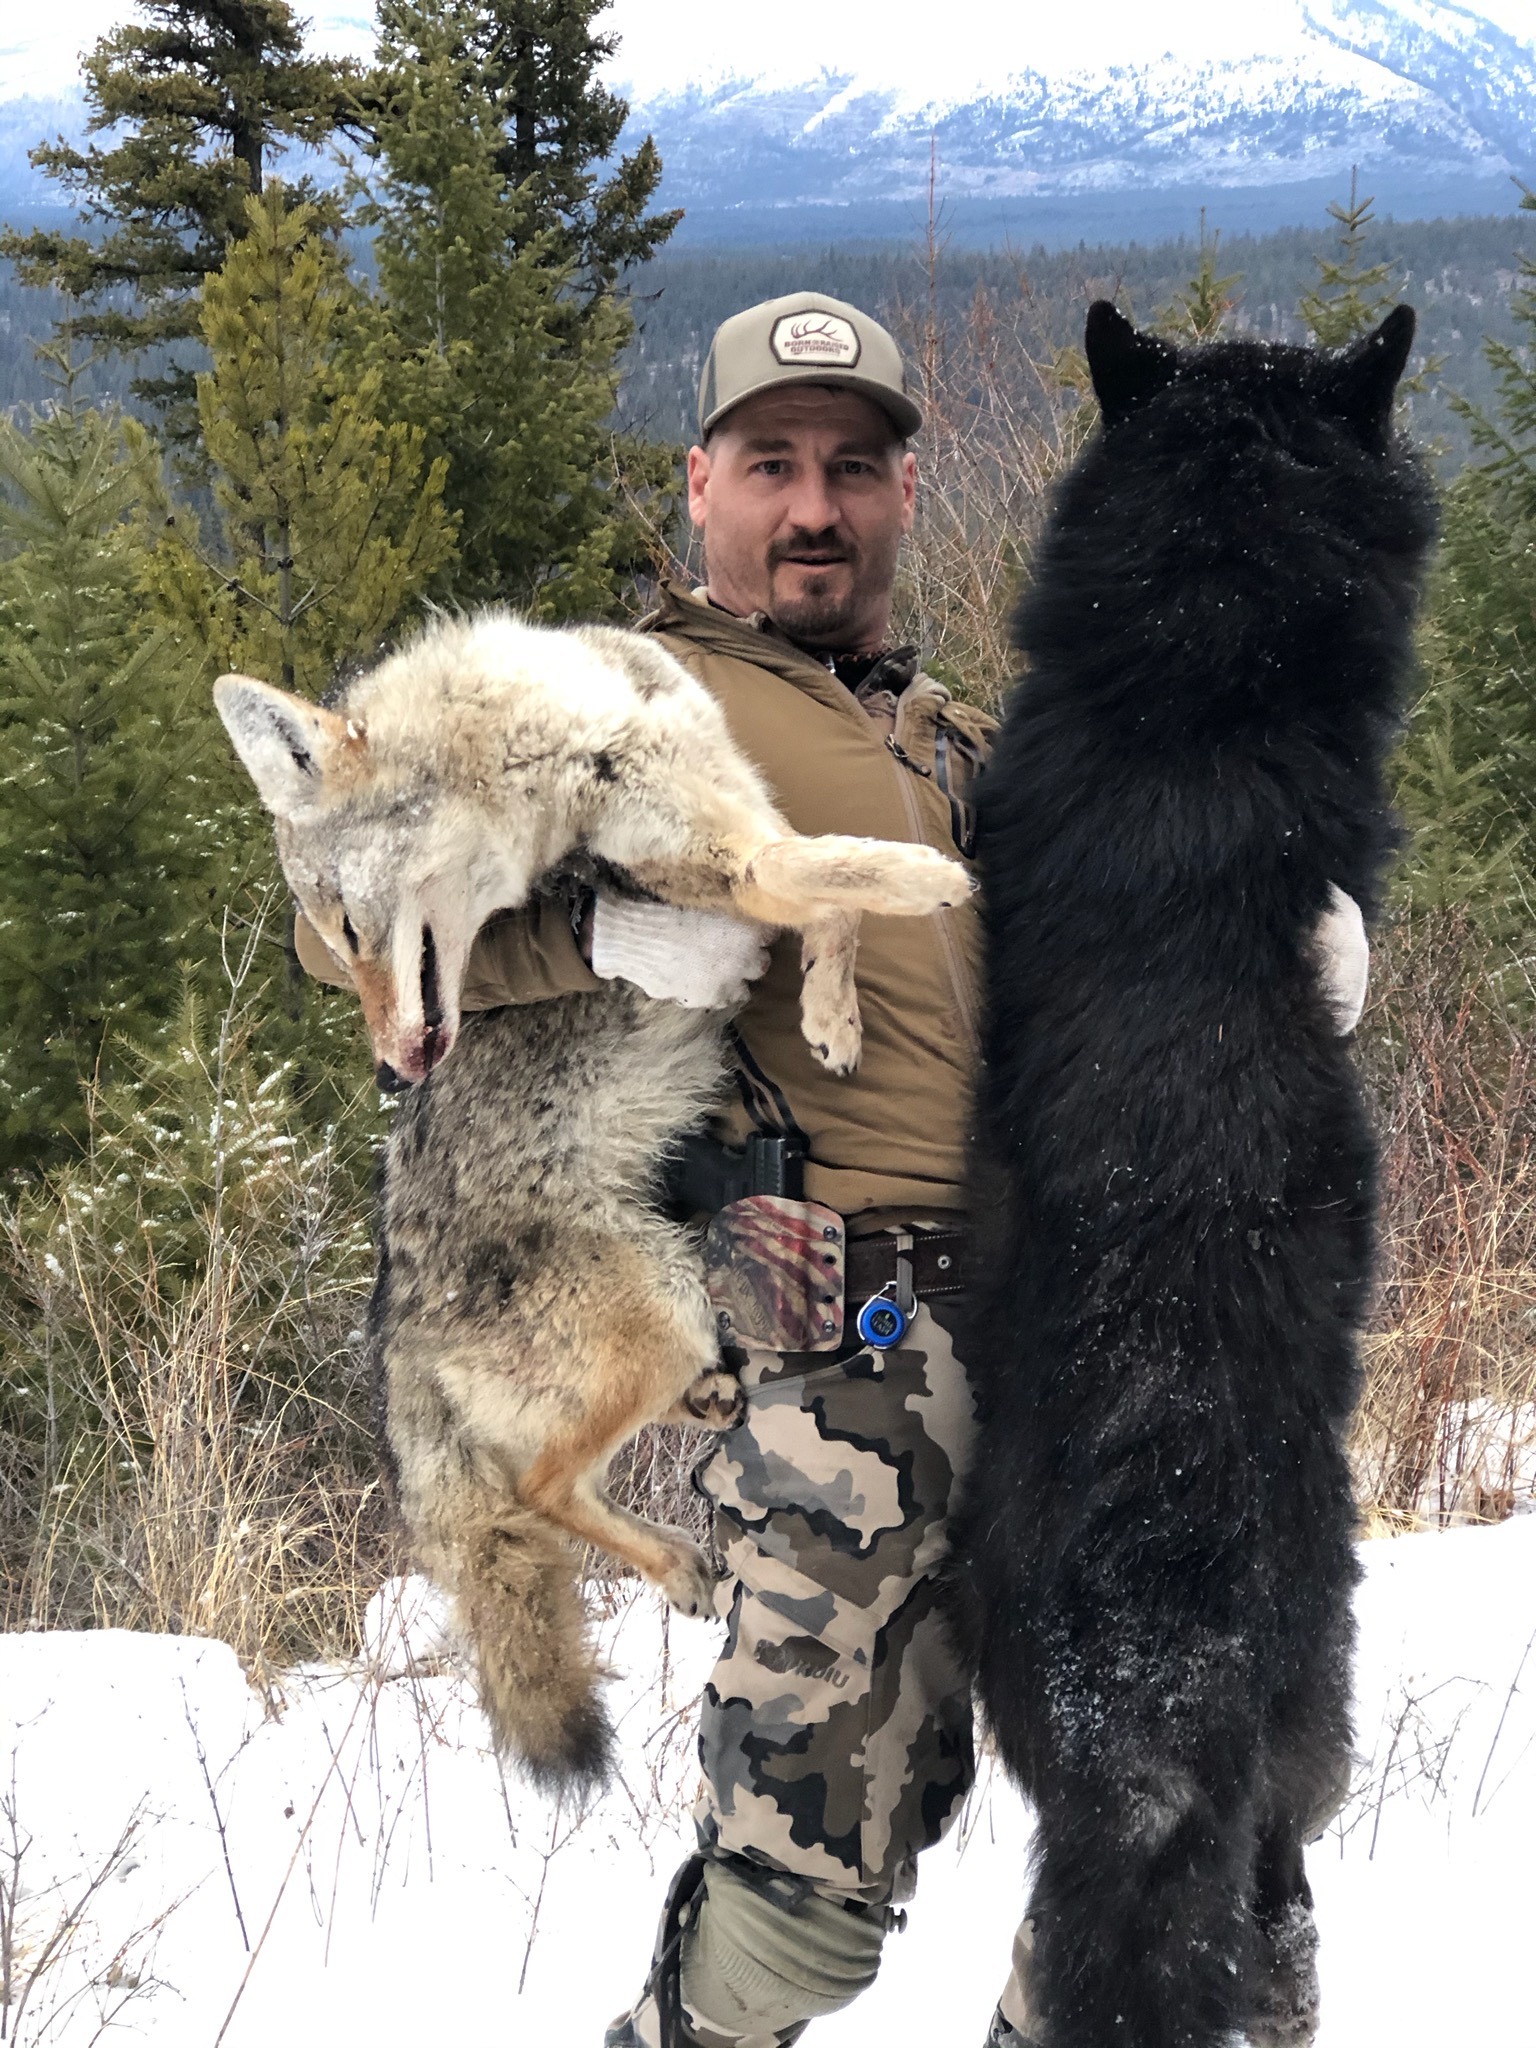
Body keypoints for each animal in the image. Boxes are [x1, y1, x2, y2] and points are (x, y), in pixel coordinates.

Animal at [215, 610, 969, 1789]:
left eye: (342, 921)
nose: (392, 1069)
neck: (575, 737)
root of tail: (392, 1328)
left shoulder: (729, 819)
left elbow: (826, 903)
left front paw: (833, 1017)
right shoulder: (707, 869)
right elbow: (822, 865)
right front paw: (928, 877)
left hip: (674, 1298)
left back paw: (709, 1413)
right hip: (658, 1311)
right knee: (542, 1489)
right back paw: (682, 1562)